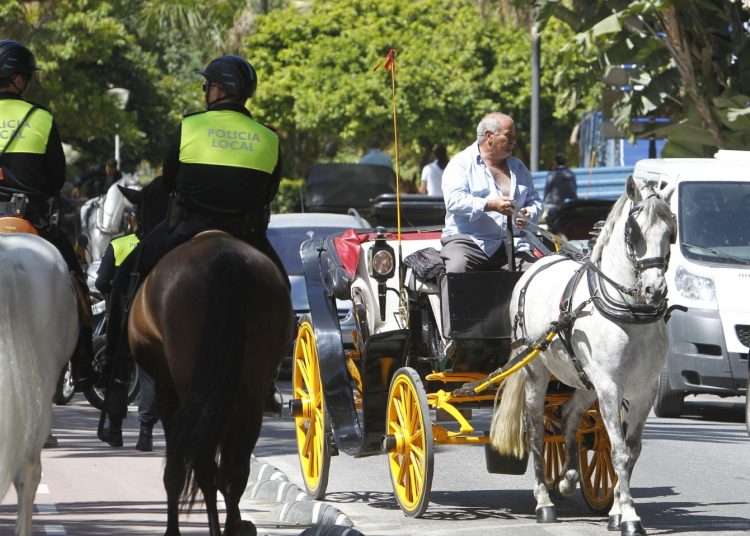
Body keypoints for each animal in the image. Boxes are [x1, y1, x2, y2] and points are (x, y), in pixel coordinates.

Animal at [128, 231, 293, 536]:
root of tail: (225, 257)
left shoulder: (169, 394)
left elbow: (176, 469)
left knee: (204, 467)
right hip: (247, 395)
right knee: (234, 469)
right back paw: (233, 526)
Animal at [490, 176, 676, 536]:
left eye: (670, 231)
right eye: (633, 232)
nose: (655, 290)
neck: (630, 311)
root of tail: (538, 264)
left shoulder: (643, 390)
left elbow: (630, 451)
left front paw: (615, 511)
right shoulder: (610, 386)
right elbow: (618, 452)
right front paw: (629, 517)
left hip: (585, 381)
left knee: (567, 416)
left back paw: (568, 478)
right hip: (537, 371)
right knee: (535, 428)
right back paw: (544, 501)